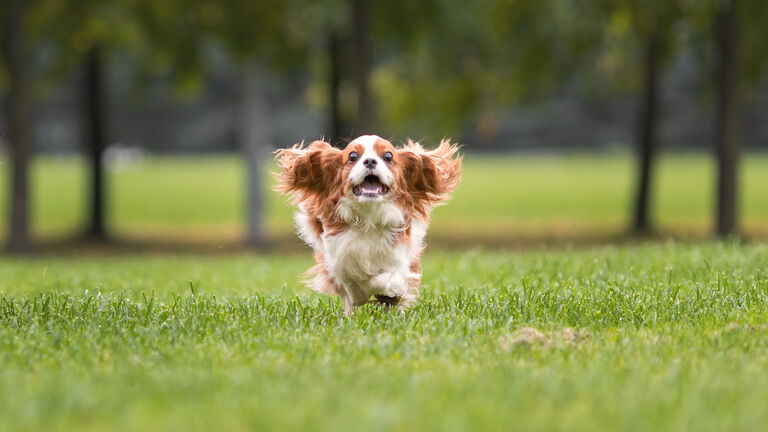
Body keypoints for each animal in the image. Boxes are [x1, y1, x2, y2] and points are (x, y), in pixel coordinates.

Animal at [280, 133, 464, 312]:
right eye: (353, 156)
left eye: (388, 156)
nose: (370, 161)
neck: (368, 216)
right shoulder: (337, 258)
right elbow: (351, 283)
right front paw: (360, 295)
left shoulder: (400, 256)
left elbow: (382, 280)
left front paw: (388, 294)